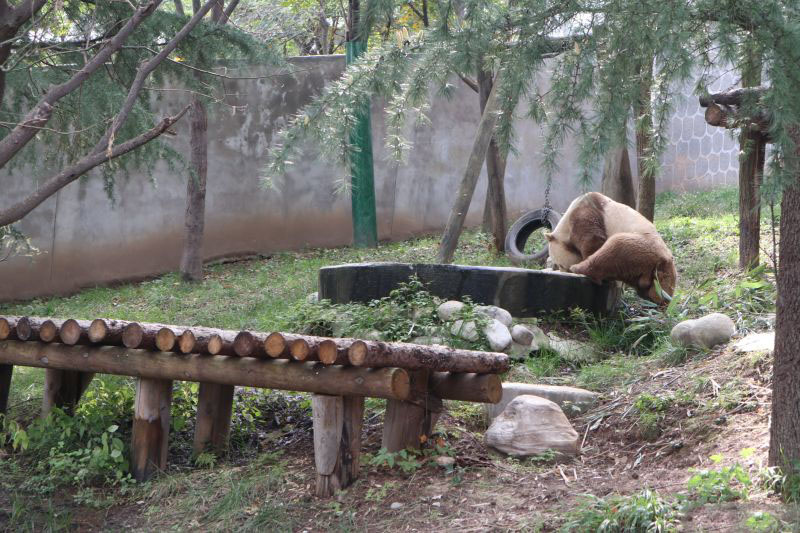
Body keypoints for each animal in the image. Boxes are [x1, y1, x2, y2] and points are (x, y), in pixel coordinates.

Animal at [544, 192, 677, 304]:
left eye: (560, 264)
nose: (564, 271)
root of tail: (664, 259)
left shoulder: (585, 214)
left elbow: (592, 240)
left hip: (644, 246)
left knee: (615, 249)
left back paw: (580, 268)